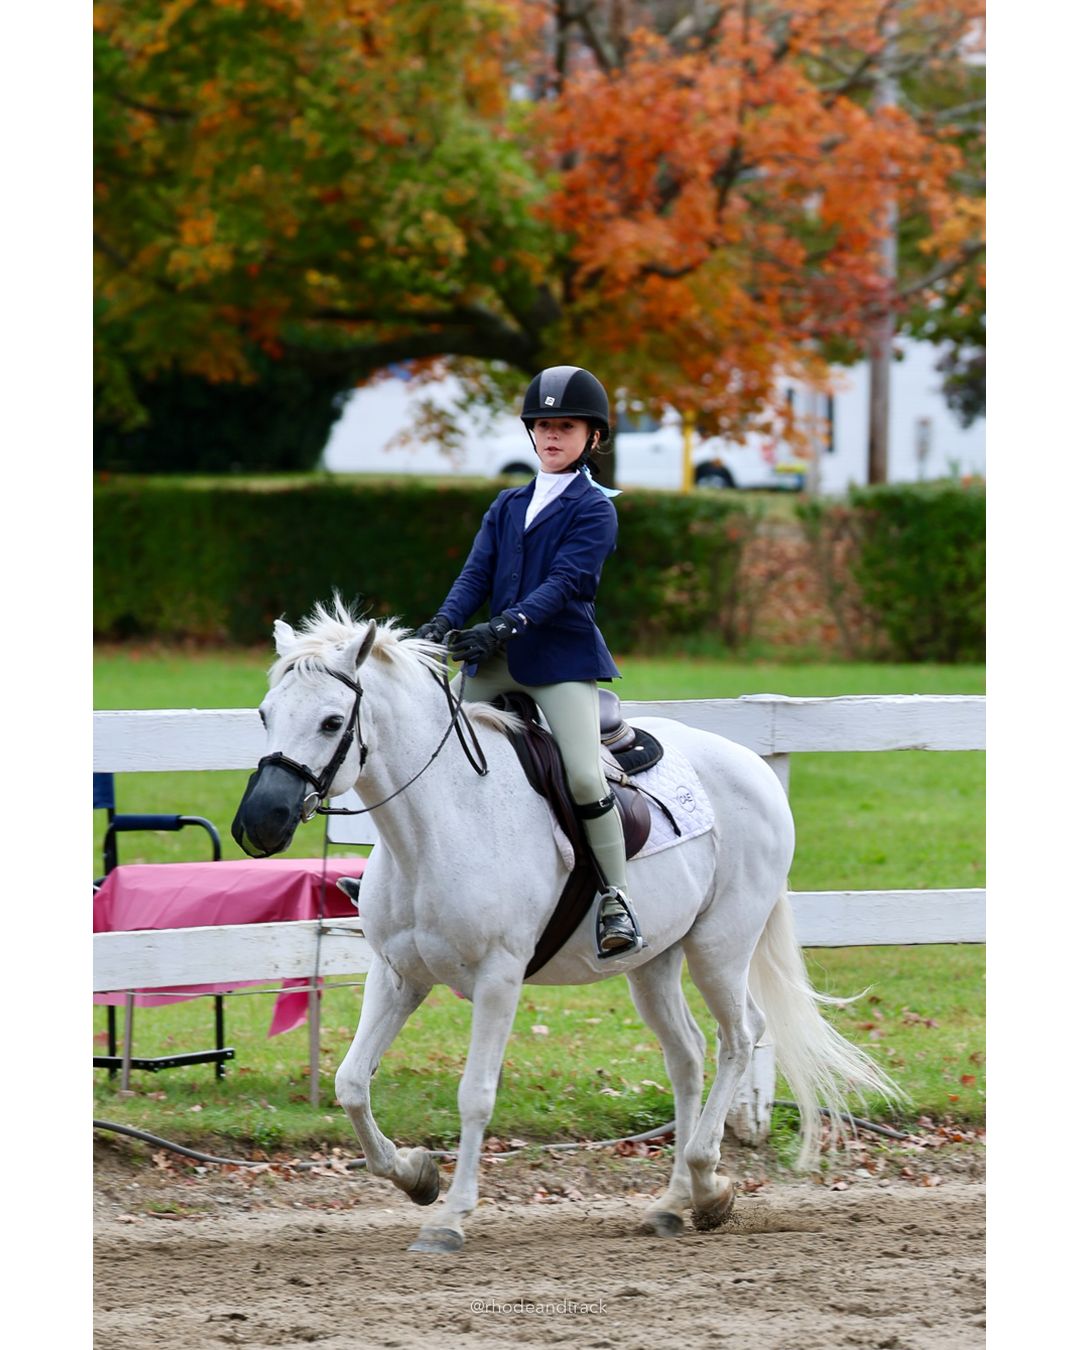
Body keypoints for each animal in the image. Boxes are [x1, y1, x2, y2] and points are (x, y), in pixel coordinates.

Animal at [232, 598, 898, 1253]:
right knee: (687, 1056)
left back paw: (709, 1183)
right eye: (264, 714)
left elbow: (475, 1096)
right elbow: (351, 1083)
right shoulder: (399, 975)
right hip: (654, 961)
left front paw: (450, 1218)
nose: (260, 822)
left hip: (720, 947)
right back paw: (675, 1202)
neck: (438, 823)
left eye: (330, 721)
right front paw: (417, 1175)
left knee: (739, 1037)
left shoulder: (499, 979)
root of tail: (754, 767)